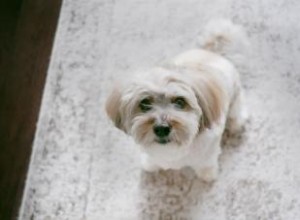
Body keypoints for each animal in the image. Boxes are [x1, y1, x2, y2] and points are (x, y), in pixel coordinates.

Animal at [105, 19, 248, 182]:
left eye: (180, 102)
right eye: (145, 103)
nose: (162, 128)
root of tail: (213, 52)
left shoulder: (208, 154)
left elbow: (206, 164)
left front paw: (207, 175)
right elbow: (152, 161)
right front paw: (150, 165)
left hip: (235, 102)